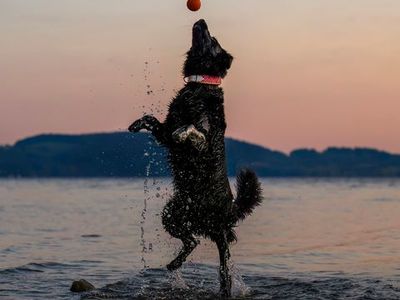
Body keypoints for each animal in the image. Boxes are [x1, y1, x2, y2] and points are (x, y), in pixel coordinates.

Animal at [129, 19, 262, 298]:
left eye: (213, 39)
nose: (201, 20)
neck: (199, 86)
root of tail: (230, 210)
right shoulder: (164, 131)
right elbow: (152, 120)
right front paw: (136, 124)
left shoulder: (202, 136)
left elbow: (190, 128)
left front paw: (183, 132)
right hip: (172, 214)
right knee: (191, 242)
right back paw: (174, 264)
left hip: (214, 238)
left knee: (203, 251)